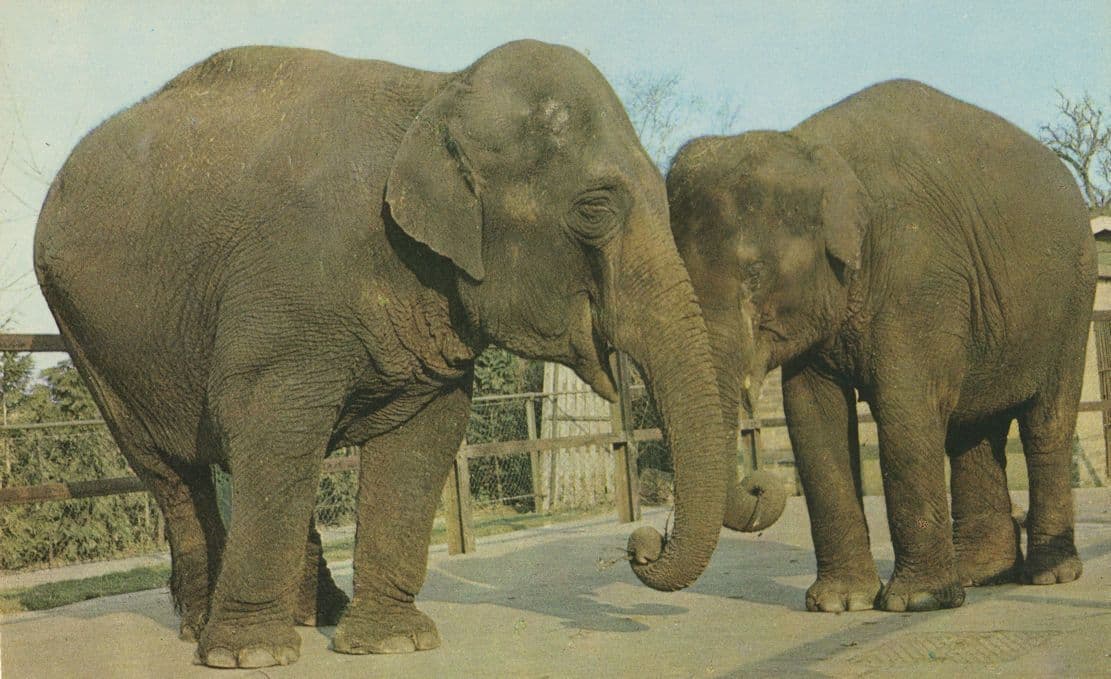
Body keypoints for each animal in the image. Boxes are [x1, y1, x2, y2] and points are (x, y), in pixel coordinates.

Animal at [33, 41, 755, 668]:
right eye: (595, 210)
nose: (643, 542)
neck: (438, 91)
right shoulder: (287, 288)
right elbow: (272, 419)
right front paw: (251, 656)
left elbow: (422, 437)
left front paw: (391, 644)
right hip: (90, 336)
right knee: (171, 467)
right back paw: (204, 628)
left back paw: (314, 613)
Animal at [666, 79, 1095, 614]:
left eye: (755, 273)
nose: (760, 483)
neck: (813, 150)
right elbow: (812, 416)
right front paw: (839, 604)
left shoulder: (917, 275)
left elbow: (906, 407)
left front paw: (917, 602)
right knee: (973, 427)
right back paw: (982, 574)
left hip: (1073, 301)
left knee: (1046, 420)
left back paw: (1050, 575)